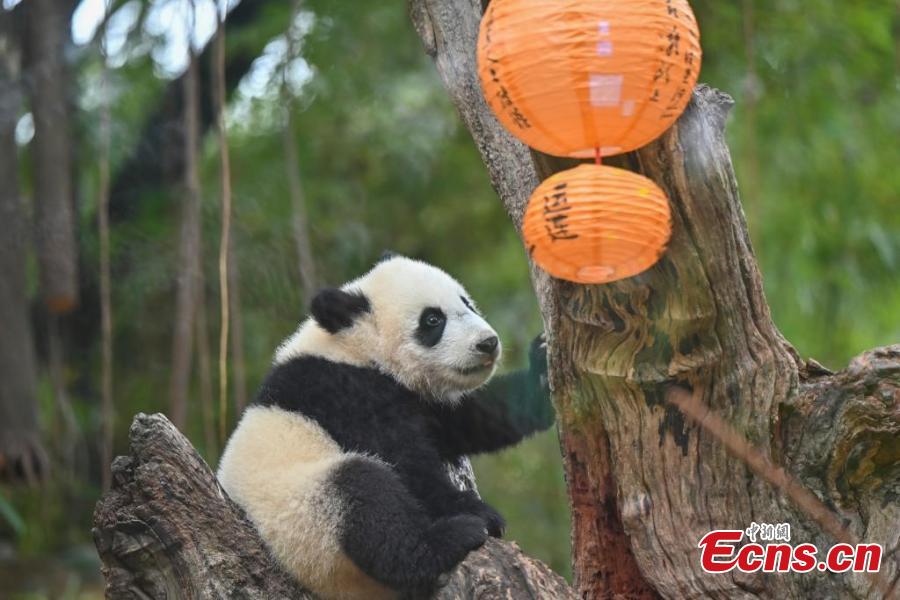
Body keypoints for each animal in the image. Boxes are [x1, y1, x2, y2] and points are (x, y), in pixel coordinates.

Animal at [217, 254, 553, 600]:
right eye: (432, 320)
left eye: (466, 303)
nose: (488, 343)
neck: (353, 348)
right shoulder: (343, 392)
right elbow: (405, 463)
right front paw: (480, 513)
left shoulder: (420, 399)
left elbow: (472, 420)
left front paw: (540, 374)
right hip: (303, 522)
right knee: (366, 499)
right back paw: (449, 539)